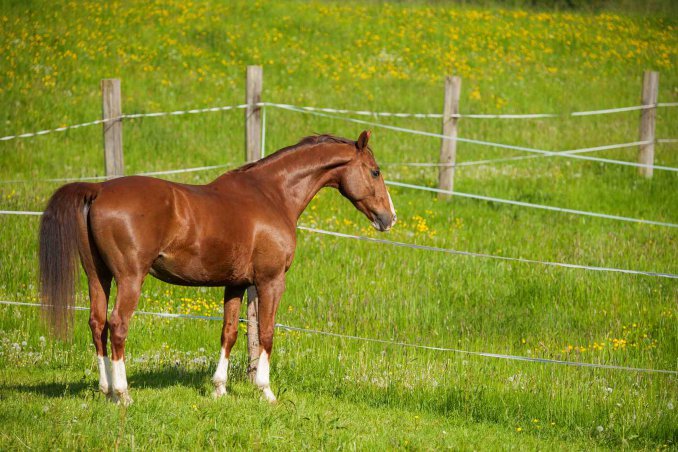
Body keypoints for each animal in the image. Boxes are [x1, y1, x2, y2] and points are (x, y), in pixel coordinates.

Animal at [39, 130, 396, 405]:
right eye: (375, 171)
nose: (389, 218)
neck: (271, 195)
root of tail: (98, 189)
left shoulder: (235, 284)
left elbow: (230, 332)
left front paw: (219, 389)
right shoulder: (270, 281)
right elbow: (266, 334)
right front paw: (266, 391)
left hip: (98, 276)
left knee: (97, 323)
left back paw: (106, 390)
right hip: (129, 279)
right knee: (117, 325)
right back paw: (123, 394)